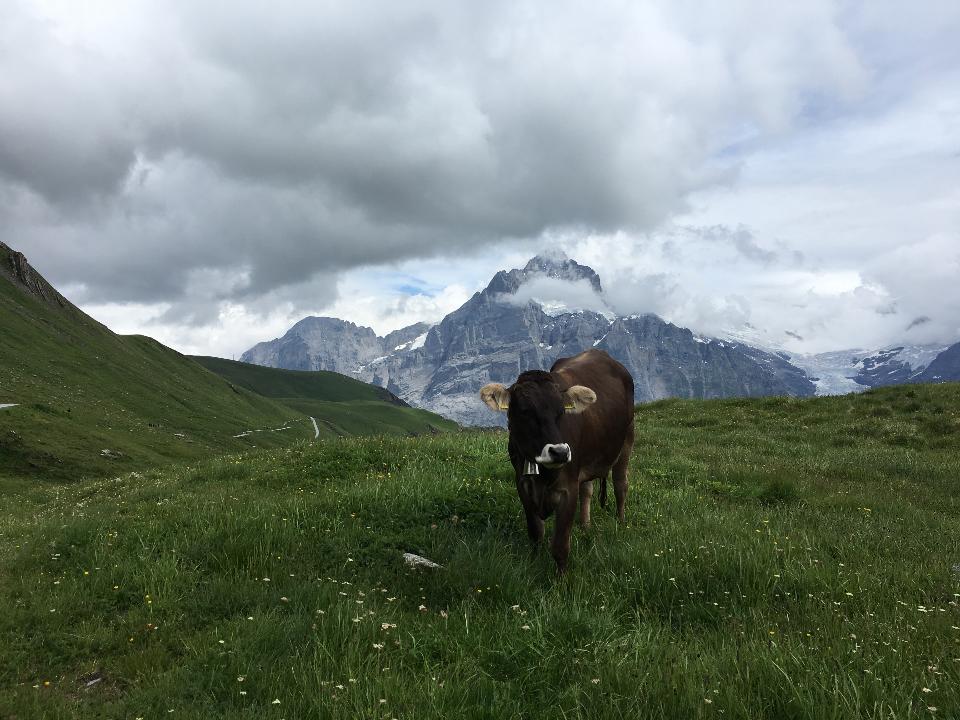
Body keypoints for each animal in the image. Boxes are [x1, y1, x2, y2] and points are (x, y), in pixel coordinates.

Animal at [478, 348, 632, 572]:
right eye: (524, 411)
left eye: (561, 411)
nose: (559, 452)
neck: (542, 475)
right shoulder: (523, 484)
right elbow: (535, 533)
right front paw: (534, 563)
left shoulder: (568, 487)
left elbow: (560, 546)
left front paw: (561, 579)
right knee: (587, 489)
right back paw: (585, 527)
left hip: (627, 438)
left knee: (621, 484)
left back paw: (621, 523)